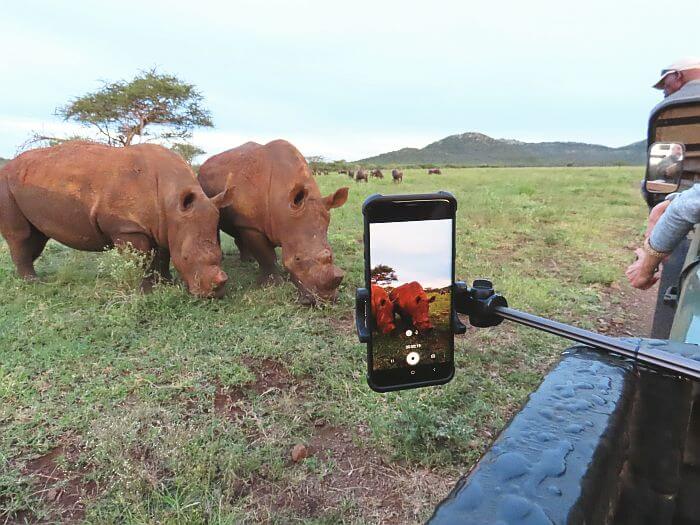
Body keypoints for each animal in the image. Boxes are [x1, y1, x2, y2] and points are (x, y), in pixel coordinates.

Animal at [0, 141, 235, 296]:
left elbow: (163, 254)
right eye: (186, 258)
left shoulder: (167, 224)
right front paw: (146, 291)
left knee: (36, 237)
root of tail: (8, 166)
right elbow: (142, 259)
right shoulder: (127, 227)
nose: (212, 294)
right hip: (5, 183)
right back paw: (33, 283)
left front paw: (166, 283)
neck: (171, 202)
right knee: (20, 236)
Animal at [198, 139, 348, 302]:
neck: (283, 206)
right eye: (297, 259)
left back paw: (248, 261)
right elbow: (266, 255)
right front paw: (273, 284)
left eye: (331, 254)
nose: (325, 299)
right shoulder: (252, 226)